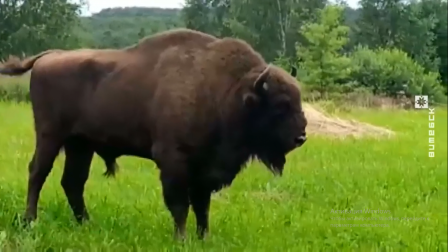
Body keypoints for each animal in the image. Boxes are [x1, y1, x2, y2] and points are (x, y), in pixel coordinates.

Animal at [0, 28, 308, 239]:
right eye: (280, 104)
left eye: (298, 98)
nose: (301, 137)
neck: (227, 92)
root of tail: (49, 56)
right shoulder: (174, 161)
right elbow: (180, 204)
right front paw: (181, 239)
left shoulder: (204, 169)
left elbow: (202, 205)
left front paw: (203, 237)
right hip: (50, 136)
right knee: (38, 173)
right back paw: (30, 221)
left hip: (81, 145)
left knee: (72, 182)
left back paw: (87, 223)